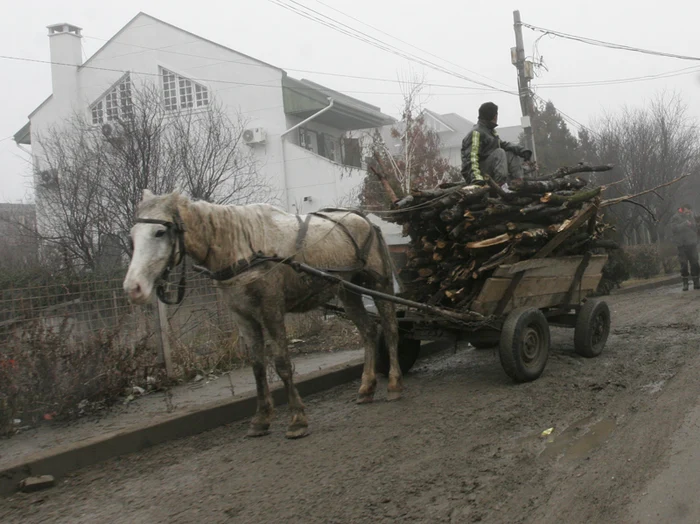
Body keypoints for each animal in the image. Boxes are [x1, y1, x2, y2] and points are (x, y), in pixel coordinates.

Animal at [123, 190, 402, 440]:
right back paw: (366, 388)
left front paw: (297, 420)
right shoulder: (243, 316)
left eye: (160, 232)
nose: (132, 288)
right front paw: (261, 419)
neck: (243, 249)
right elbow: (257, 365)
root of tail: (366, 221)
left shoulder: (271, 310)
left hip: (379, 284)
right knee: (368, 331)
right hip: (348, 291)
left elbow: (282, 363)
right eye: (132, 236)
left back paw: (394, 384)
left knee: (390, 329)